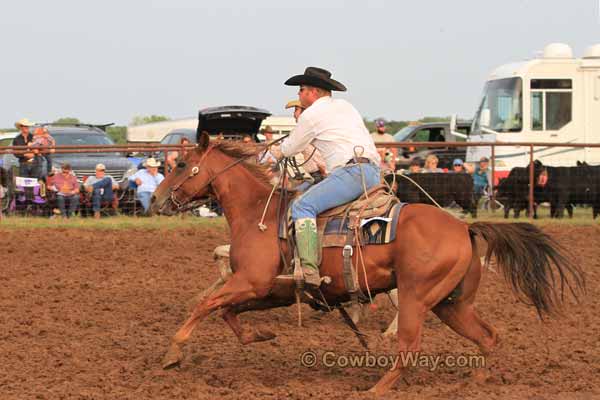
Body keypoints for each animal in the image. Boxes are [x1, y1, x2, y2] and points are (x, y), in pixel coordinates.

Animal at [151, 133, 584, 396]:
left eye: (180, 165)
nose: (155, 200)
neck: (260, 212)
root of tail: (464, 227)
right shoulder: (271, 290)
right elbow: (229, 312)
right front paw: (261, 336)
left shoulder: (251, 281)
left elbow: (207, 305)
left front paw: (173, 353)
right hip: (452, 303)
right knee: (488, 336)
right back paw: (477, 380)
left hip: (416, 296)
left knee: (410, 346)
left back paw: (376, 388)